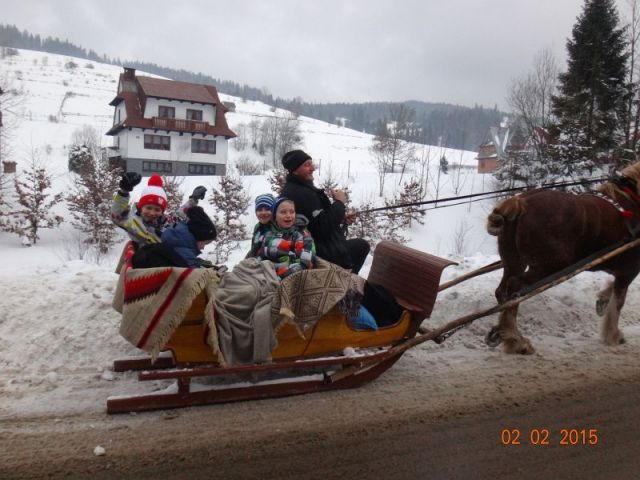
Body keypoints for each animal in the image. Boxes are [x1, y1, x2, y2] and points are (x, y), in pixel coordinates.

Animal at [484, 163, 640, 354]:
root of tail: (521, 203)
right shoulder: (629, 270)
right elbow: (618, 302)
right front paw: (613, 334)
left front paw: (603, 301)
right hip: (551, 266)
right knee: (515, 288)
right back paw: (516, 340)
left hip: (514, 262)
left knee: (503, 292)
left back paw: (506, 334)